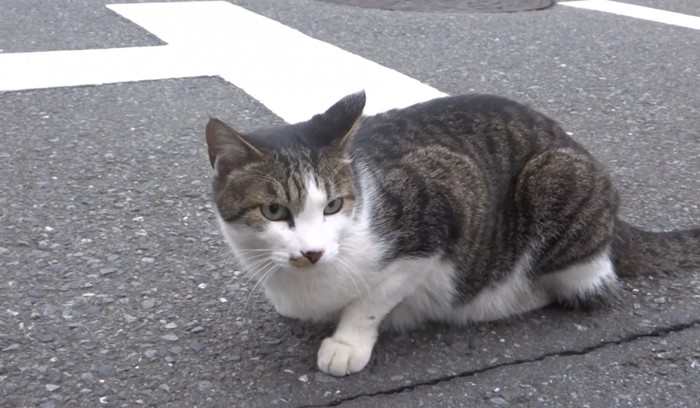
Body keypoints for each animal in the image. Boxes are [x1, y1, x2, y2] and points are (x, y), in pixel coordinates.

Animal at [205, 91, 696, 376]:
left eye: (333, 206)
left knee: (591, 283)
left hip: (556, 177)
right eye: (274, 210)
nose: (312, 252)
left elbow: (374, 299)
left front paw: (347, 343)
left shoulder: (446, 195)